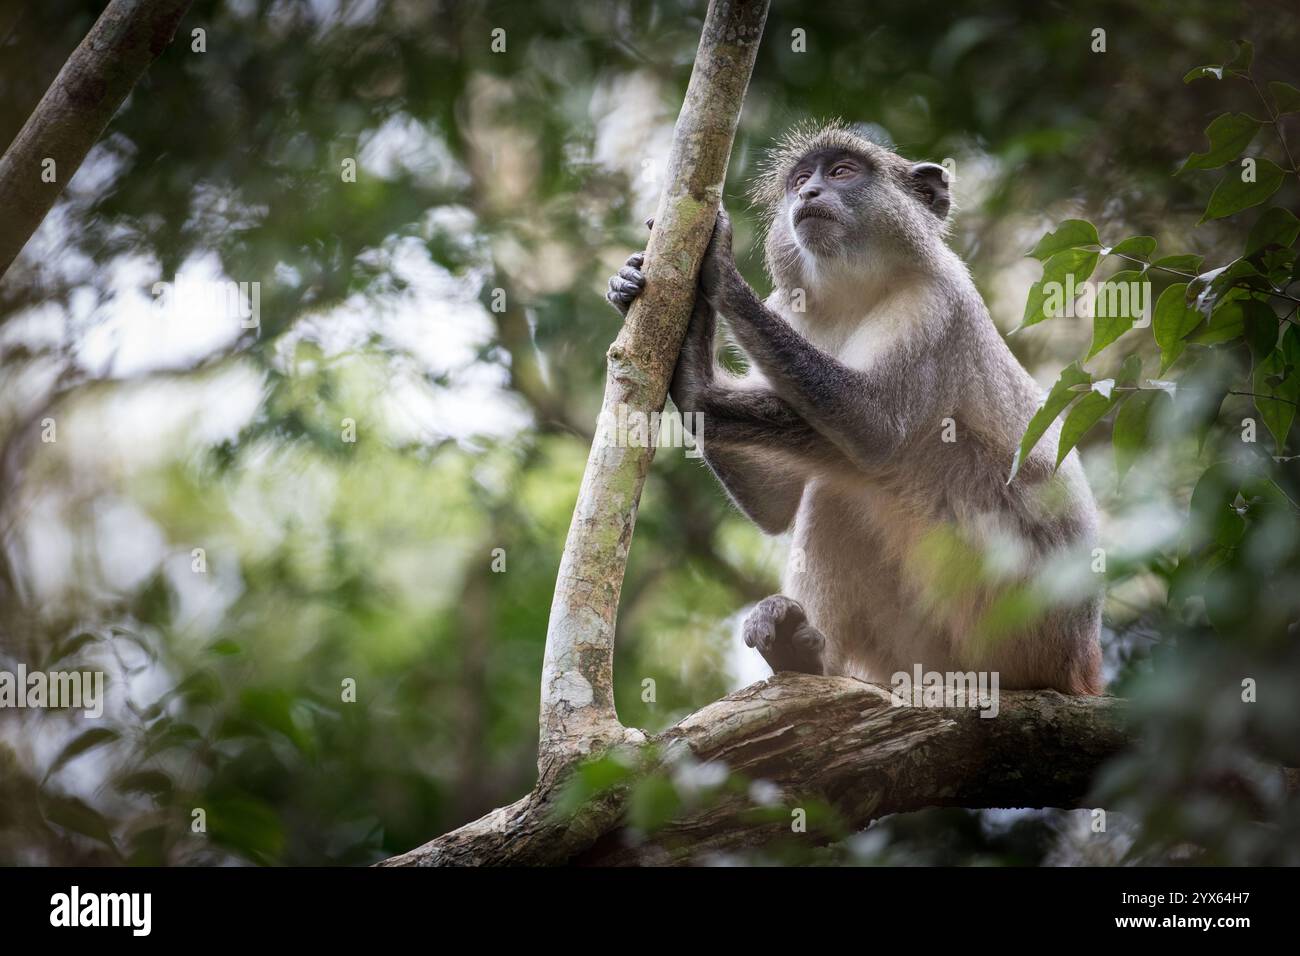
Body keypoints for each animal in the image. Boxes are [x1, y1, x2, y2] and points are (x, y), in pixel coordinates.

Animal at [607, 120, 1103, 695]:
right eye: (801, 179)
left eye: (842, 172)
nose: (809, 194)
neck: (854, 290)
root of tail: (1081, 665)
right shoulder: (789, 310)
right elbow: (777, 504)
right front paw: (673, 344)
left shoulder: (936, 303)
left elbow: (874, 428)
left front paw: (717, 282)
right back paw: (803, 656)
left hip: (1012, 615)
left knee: (889, 464)